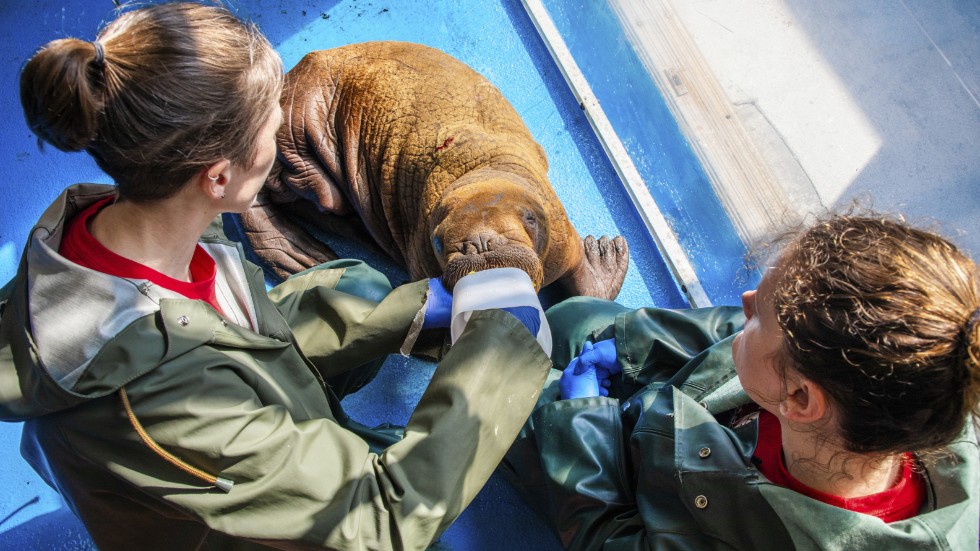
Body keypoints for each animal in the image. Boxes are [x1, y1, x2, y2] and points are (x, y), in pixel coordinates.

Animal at [241, 42, 632, 302]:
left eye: (530, 220)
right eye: (439, 241)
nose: (480, 243)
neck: (478, 166)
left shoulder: (560, 235)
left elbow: (585, 281)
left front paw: (604, 257)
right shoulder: (422, 260)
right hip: (293, 121)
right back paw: (302, 253)